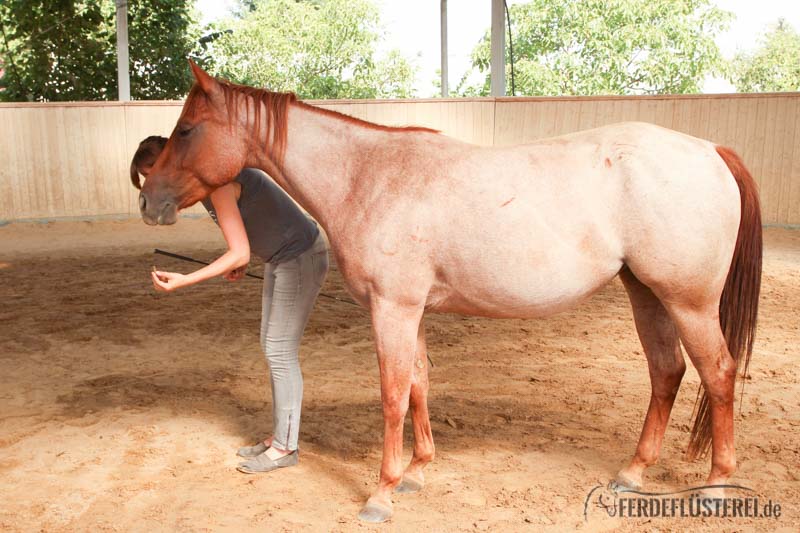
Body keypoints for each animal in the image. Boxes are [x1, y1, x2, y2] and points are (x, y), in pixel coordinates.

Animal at [139, 61, 764, 520]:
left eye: (187, 130)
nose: (149, 200)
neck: (369, 175)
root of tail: (709, 149)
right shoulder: (409, 311)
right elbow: (419, 383)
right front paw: (416, 472)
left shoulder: (392, 310)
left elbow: (393, 393)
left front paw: (381, 492)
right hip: (647, 294)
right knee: (667, 372)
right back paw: (633, 473)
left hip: (688, 302)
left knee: (717, 374)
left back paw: (716, 487)